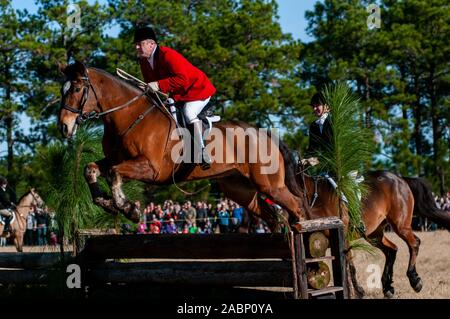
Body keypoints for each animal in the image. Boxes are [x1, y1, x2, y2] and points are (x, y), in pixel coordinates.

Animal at [57, 60, 310, 230]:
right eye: (62, 90)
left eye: (77, 89)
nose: (64, 127)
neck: (129, 116)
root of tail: (266, 134)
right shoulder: (116, 159)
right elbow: (90, 169)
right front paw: (107, 204)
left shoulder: (151, 168)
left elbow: (113, 173)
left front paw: (129, 209)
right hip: (240, 188)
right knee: (273, 217)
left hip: (270, 186)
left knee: (297, 207)